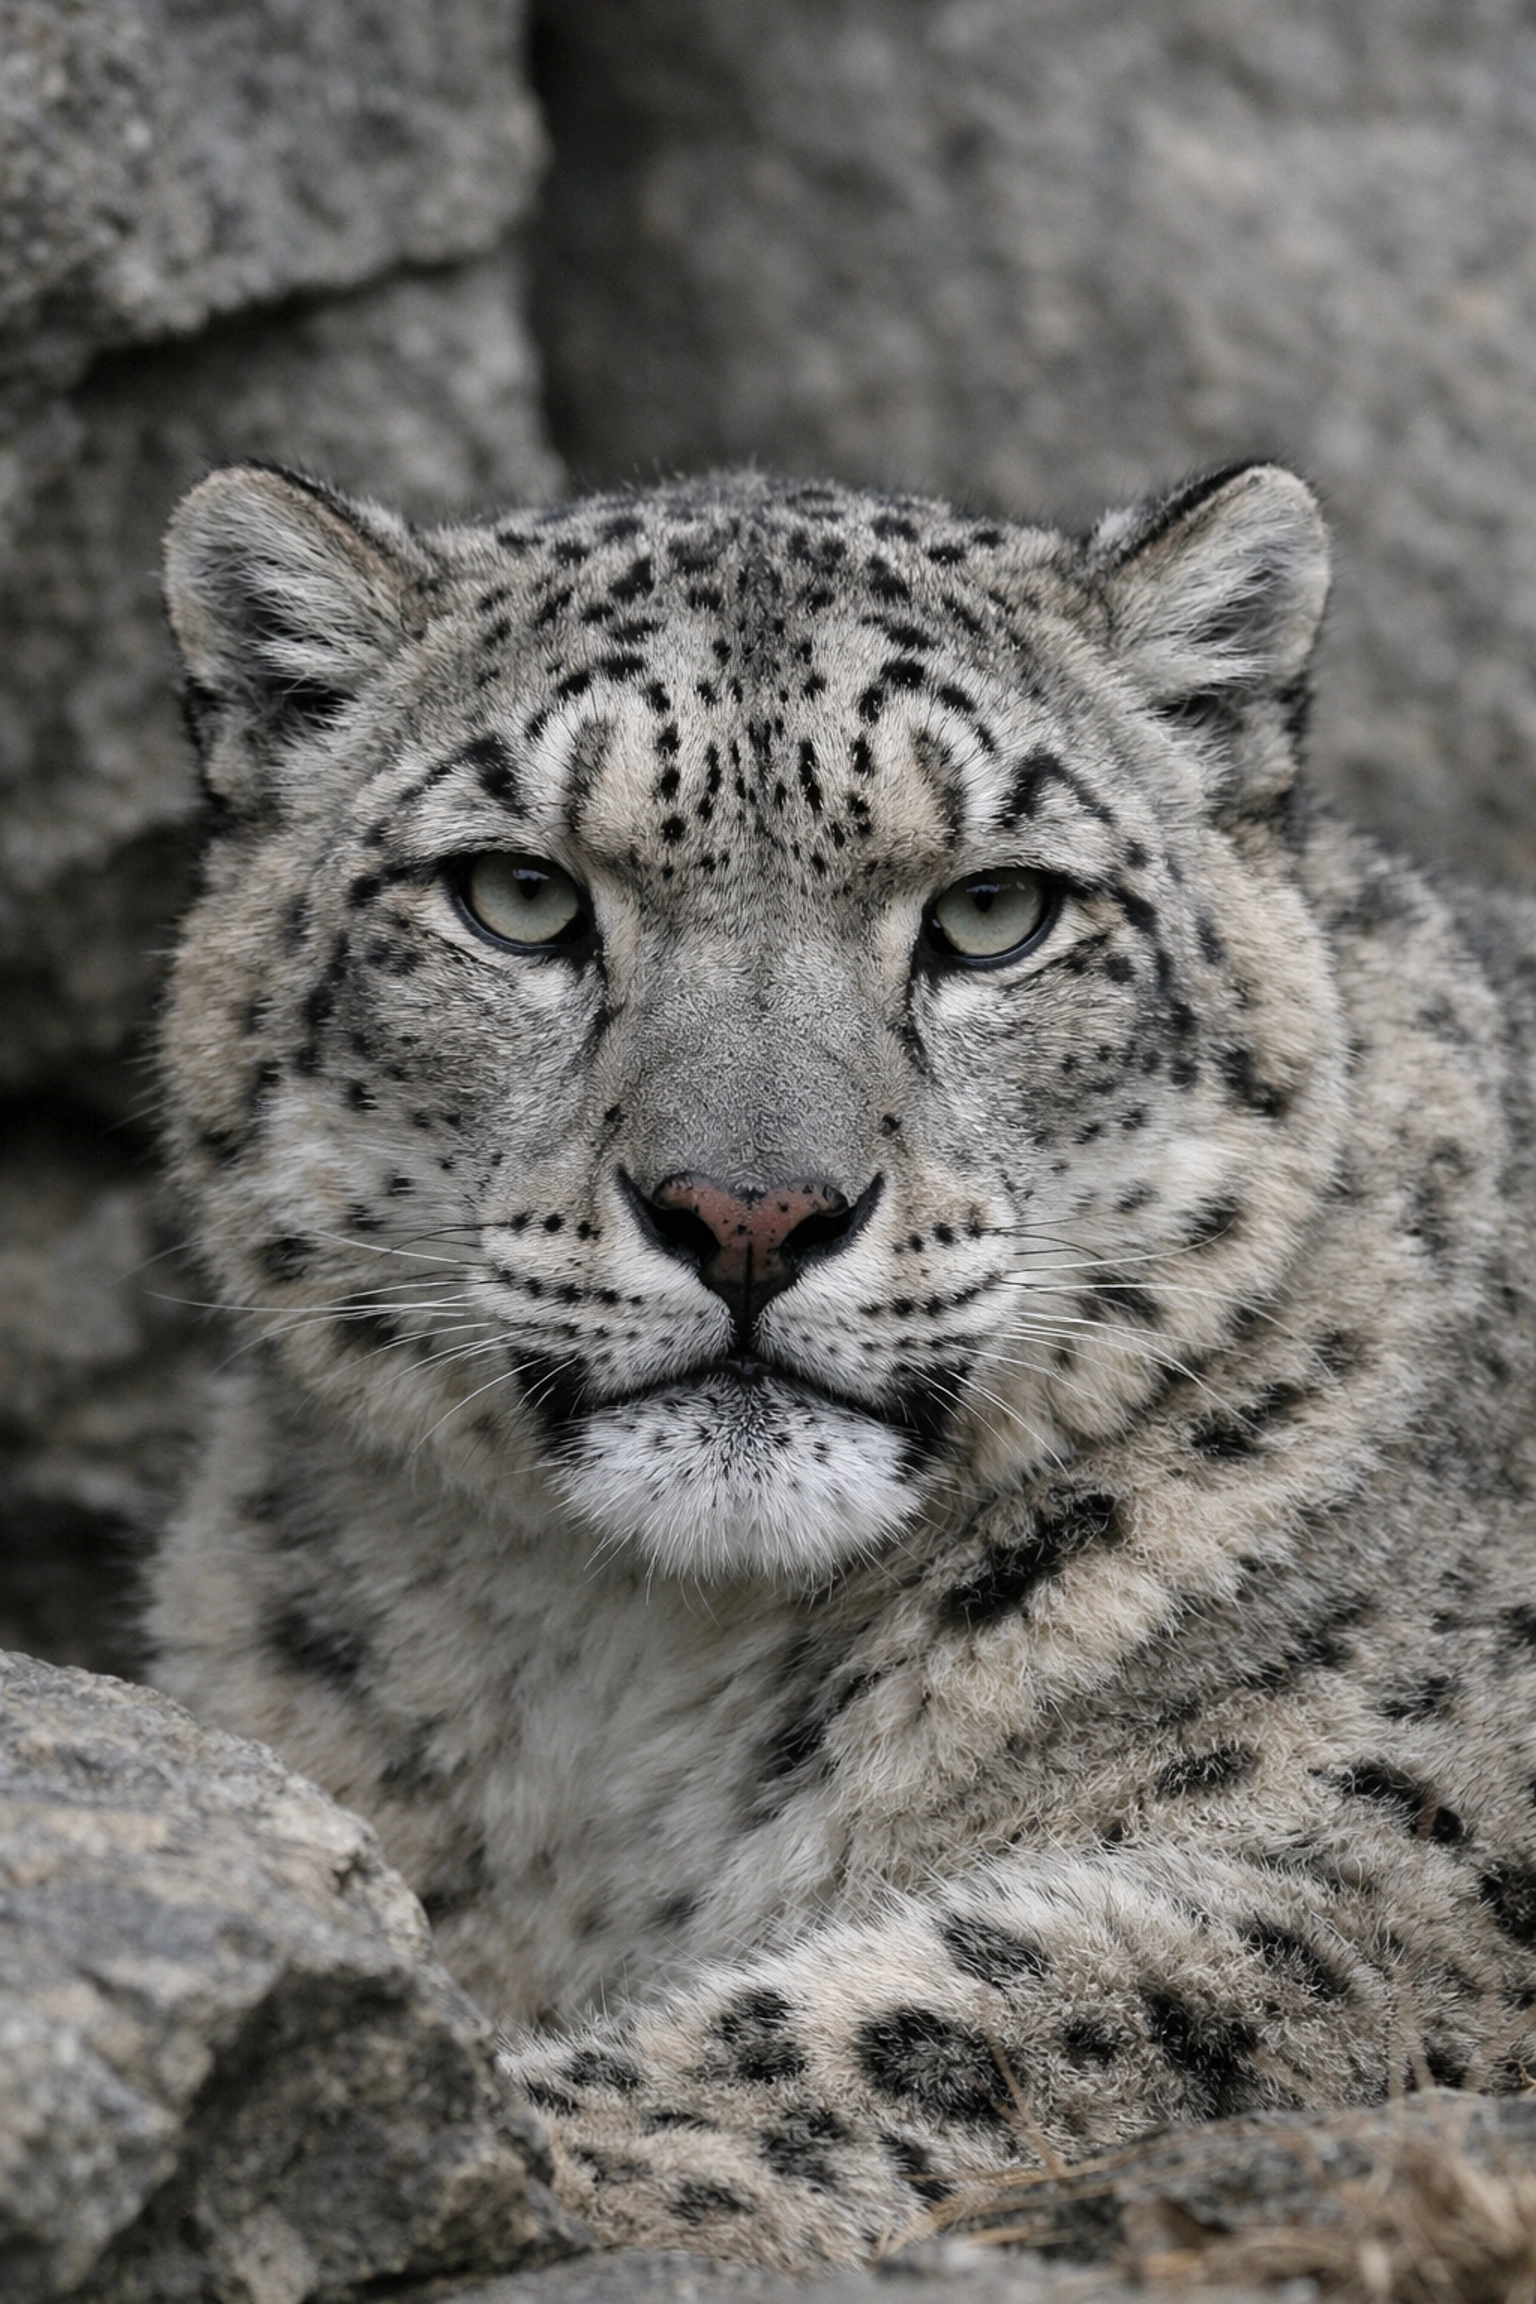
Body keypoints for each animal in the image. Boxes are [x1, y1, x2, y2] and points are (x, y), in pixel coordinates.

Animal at [150, 454, 1536, 2271]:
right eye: (517, 895)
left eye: (996, 910)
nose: (749, 1212)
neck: (633, 1679)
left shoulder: (1403, 1855)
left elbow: (965, 2014)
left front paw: (426, 2140)